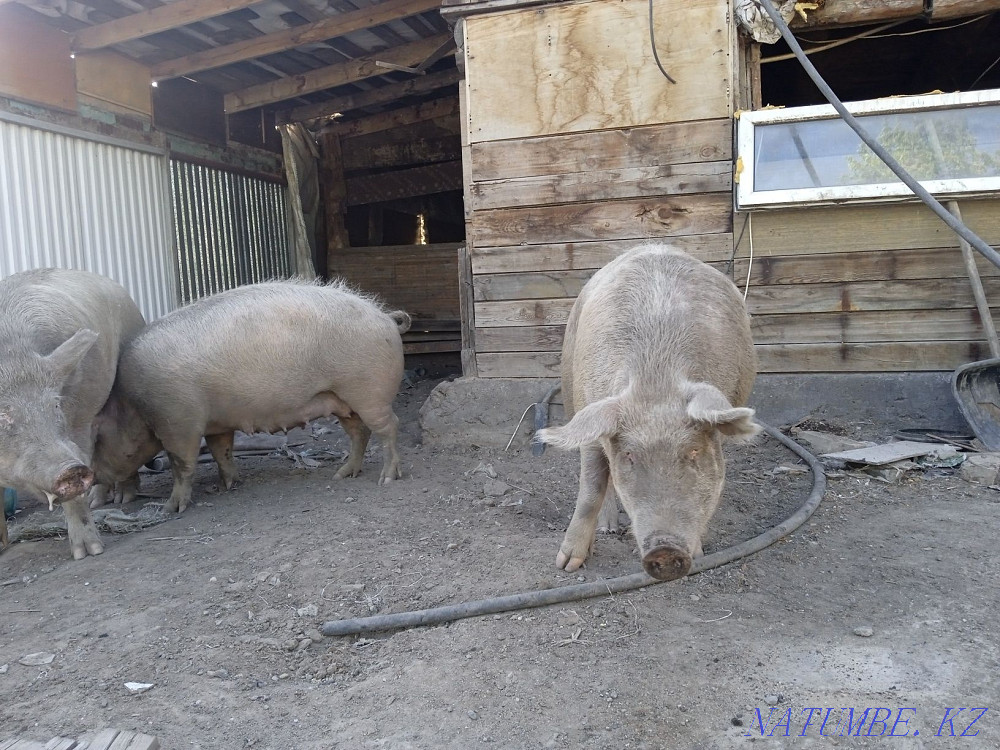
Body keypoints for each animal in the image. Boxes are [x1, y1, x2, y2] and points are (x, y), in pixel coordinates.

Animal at [0, 268, 146, 559]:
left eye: (56, 405)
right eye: (2, 415)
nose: (70, 468)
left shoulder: (76, 421)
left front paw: (88, 553)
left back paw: (123, 499)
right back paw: (100, 502)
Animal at [92, 279, 411, 514]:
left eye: (97, 442)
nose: (90, 477)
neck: (133, 405)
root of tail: (385, 317)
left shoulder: (178, 423)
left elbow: (181, 465)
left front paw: (171, 508)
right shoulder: (217, 424)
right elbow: (221, 451)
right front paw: (229, 485)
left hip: (369, 394)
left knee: (389, 426)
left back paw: (386, 479)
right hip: (343, 400)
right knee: (359, 433)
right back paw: (342, 475)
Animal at [536, 244, 760, 581]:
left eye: (694, 451)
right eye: (629, 455)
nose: (664, 550)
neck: (657, 380)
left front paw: (698, 552)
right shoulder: (592, 409)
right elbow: (591, 487)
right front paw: (567, 564)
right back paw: (609, 528)